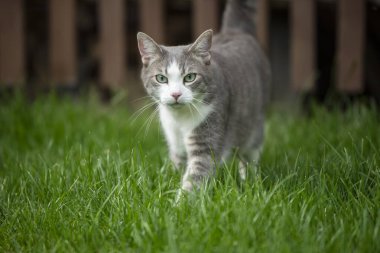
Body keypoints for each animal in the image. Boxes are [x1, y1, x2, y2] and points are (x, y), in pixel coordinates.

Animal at [137, 0, 270, 192]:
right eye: (161, 78)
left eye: (190, 77)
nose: (176, 94)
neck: (179, 119)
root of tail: (234, 31)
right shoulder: (175, 142)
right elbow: (178, 166)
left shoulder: (207, 139)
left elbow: (196, 176)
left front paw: (181, 199)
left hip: (255, 125)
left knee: (250, 154)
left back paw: (249, 181)